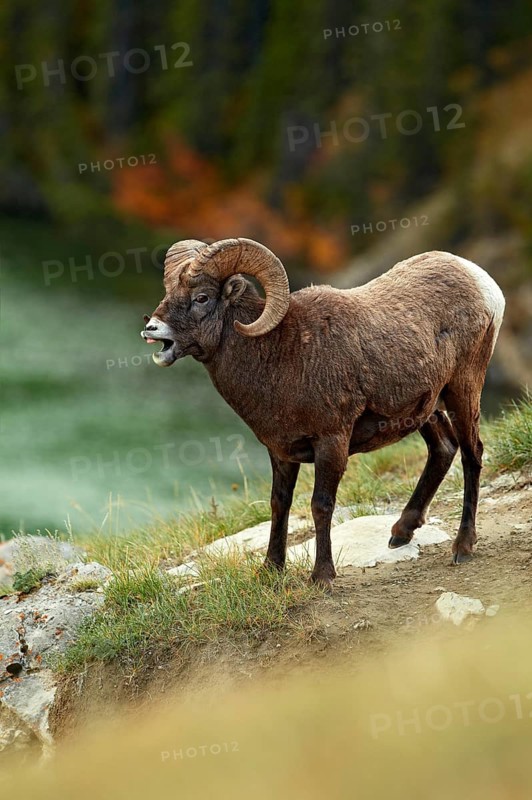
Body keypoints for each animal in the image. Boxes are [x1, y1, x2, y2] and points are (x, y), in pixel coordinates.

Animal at [141, 238, 505, 586]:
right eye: (169, 291)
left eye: (202, 297)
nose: (151, 329)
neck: (280, 355)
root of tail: (481, 281)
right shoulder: (281, 452)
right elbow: (279, 504)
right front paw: (269, 571)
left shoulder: (331, 443)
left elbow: (321, 505)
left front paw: (322, 577)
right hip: (425, 409)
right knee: (443, 448)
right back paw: (401, 533)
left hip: (462, 391)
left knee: (472, 454)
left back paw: (462, 547)